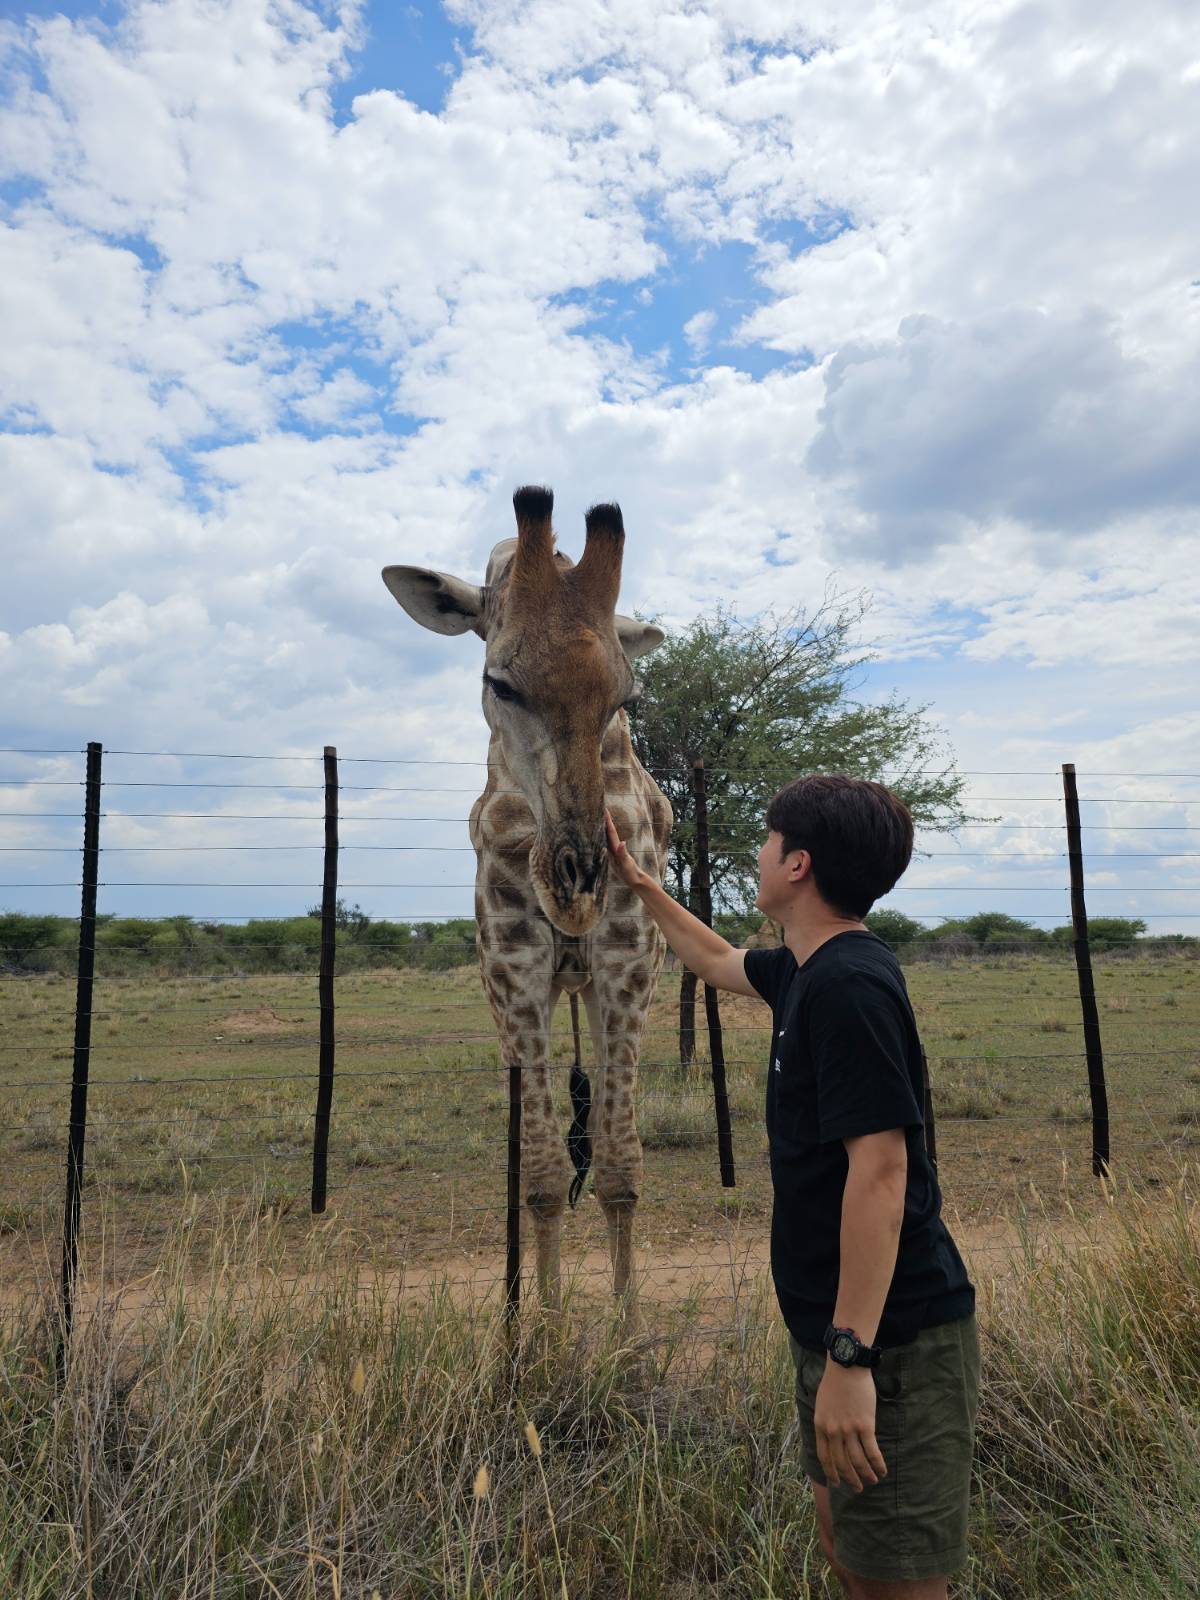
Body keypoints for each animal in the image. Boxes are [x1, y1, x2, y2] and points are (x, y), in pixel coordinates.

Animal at [382, 486, 672, 1312]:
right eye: (499, 683)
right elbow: (541, 1175)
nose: (576, 882)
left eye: (624, 695)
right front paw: (543, 1329)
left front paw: (627, 1325)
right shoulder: (512, 969)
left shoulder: (626, 961)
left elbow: (618, 1164)